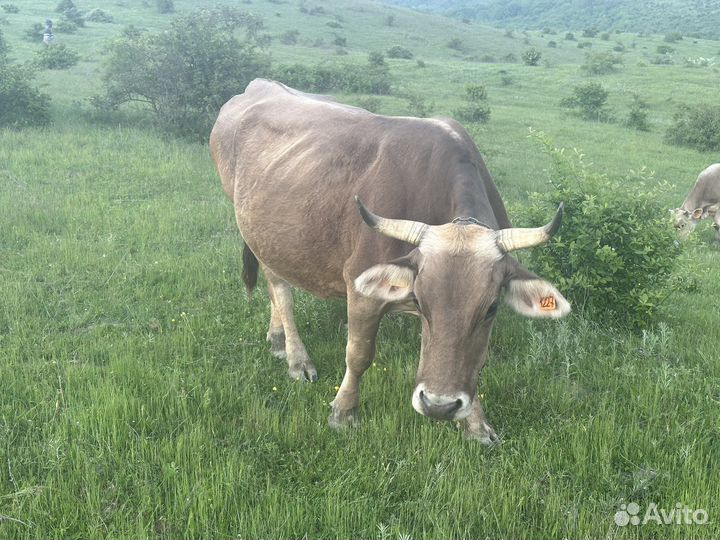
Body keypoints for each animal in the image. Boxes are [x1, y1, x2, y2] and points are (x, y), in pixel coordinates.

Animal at [210, 79, 571, 444]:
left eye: (492, 308)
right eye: (421, 302)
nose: (439, 405)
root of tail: (259, 85)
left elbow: (474, 362)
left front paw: (475, 424)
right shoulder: (362, 291)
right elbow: (358, 354)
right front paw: (344, 411)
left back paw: (277, 339)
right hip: (256, 230)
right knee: (280, 289)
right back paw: (297, 358)